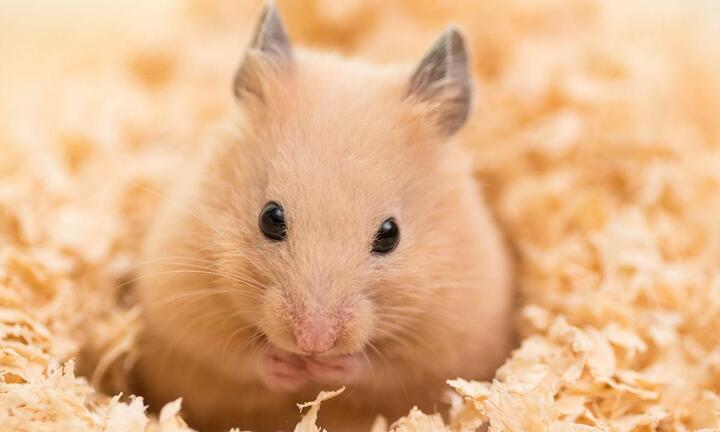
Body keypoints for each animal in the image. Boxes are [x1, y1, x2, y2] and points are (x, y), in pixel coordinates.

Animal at [133, 3, 514, 431]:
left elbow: (385, 369)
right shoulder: (180, 297)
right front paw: (288, 366)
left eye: (390, 234)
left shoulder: (453, 330)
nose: (312, 343)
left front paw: (328, 368)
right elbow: (232, 354)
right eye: (270, 217)